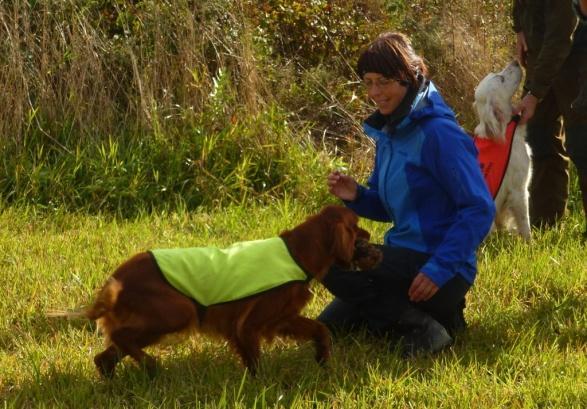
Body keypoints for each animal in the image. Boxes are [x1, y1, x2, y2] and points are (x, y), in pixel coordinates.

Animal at [86, 204, 382, 376]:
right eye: (356, 226)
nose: (370, 235)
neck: (297, 253)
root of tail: (116, 279)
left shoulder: (283, 319)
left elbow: (321, 330)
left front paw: (323, 358)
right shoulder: (248, 325)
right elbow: (255, 361)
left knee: (104, 356)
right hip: (178, 311)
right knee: (122, 338)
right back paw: (151, 365)